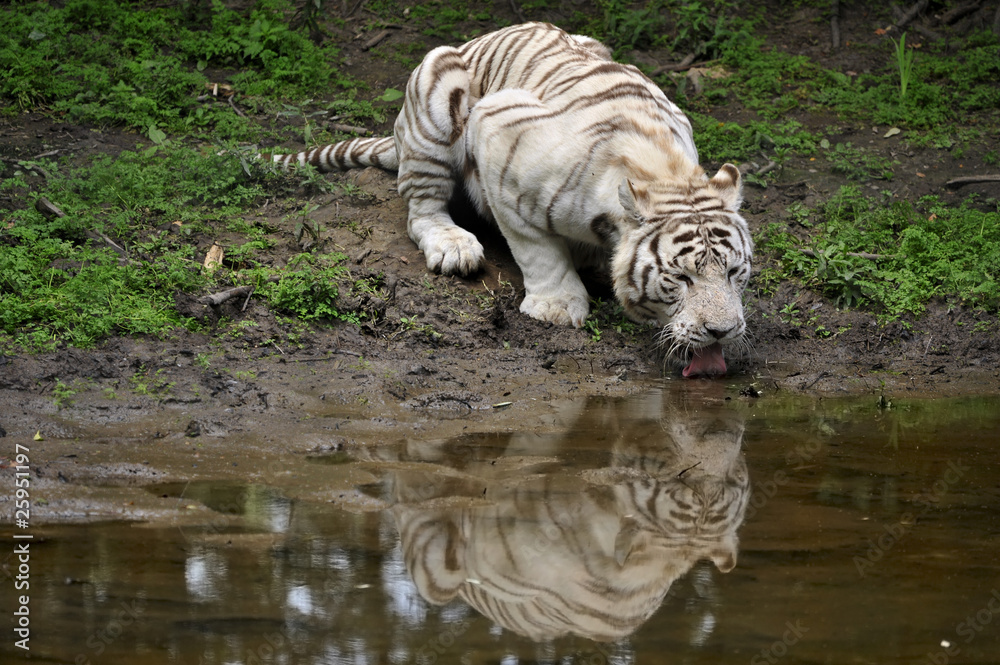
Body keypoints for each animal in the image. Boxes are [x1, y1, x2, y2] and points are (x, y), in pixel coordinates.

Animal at [266, 22, 752, 377]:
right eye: (682, 278)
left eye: (733, 273)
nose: (722, 331)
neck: (665, 172)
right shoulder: (497, 130)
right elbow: (537, 248)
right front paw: (557, 307)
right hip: (436, 95)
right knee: (421, 210)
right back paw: (453, 246)